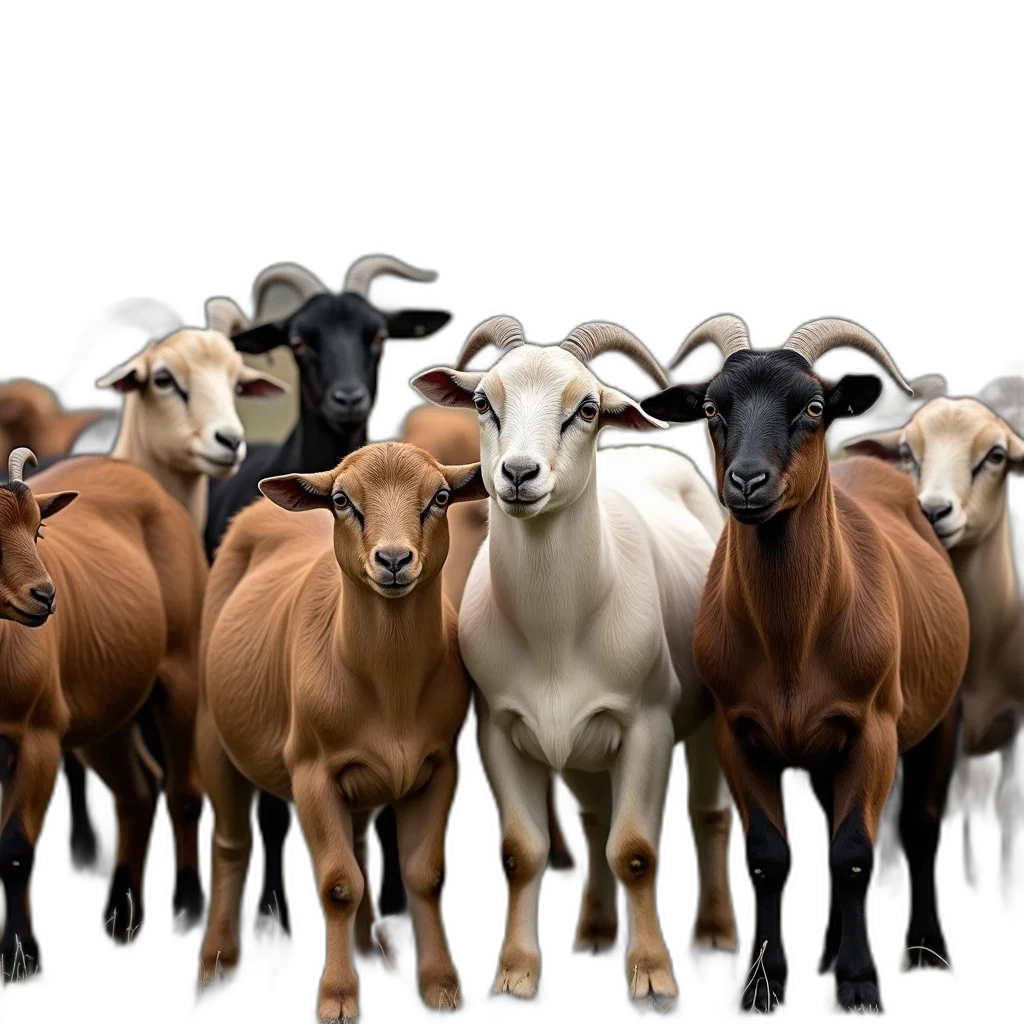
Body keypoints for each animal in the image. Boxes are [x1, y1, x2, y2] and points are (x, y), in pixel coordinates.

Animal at [0, 447, 207, 974]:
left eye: (38, 531)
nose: (45, 596)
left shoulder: (38, 739)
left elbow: (15, 851)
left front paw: (19, 955)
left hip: (182, 672)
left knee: (183, 793)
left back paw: (188, 914)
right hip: (105, 711)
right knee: (137, 792)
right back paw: (123, 916)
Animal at [195, 441, 485, 1021]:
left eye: (441, 497)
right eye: (342, 501)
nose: (393, 561)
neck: (390, 687)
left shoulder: (440, 766)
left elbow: (425, 875)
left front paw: (441, 987)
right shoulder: (312, 773)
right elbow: (337, 885)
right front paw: (337, 998)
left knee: (360, 842)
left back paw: (373, 951)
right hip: (214, 733)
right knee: (232, 845)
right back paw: (217, 963)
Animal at [639, 317, 971, 1015]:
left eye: (814, 408)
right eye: (712, 409)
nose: (747, 482)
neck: (793, 642)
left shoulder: (873, 730)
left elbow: (855, 854)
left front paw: (860, 984)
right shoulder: (737, 733)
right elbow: (770, 857)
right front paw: (766, 982)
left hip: (941, 714)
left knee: (922, 826)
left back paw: (926, 949)